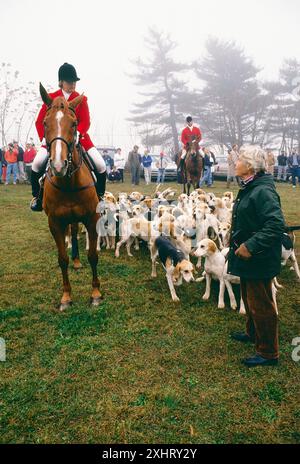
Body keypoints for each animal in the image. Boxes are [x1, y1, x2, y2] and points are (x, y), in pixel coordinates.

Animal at [38, 82, 101, 312]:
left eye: (74, 124)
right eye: (45, 123)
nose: (58, 166)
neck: (68, 183)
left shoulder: (91, 218)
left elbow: (93, 256)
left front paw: (95, 294)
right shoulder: (54, 222)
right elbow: (61, 259)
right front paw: (66, 297)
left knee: (74, 231)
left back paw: (77, 260)